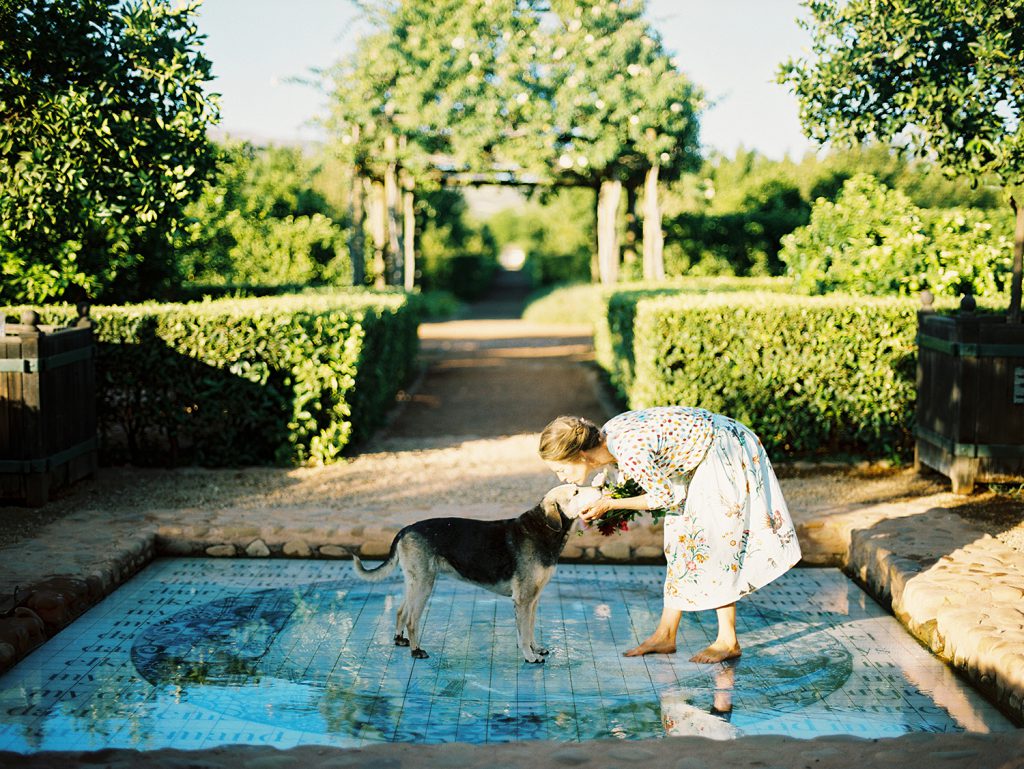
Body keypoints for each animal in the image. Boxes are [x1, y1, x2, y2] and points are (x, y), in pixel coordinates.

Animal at [348, 487, 598, 663]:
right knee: (412, 619)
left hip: (414, 581)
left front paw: (536, 649)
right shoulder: (523, 599)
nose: (600, 488)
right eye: (576, 492)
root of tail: (405, 529)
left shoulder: (533, 599)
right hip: (424, 584)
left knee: (401, 611)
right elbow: (524, 633)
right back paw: (416, 650)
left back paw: (400, 640)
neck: (543, 528)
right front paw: (530, 656)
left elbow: (531, 629)